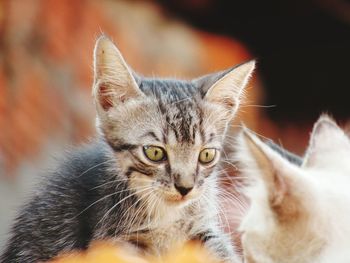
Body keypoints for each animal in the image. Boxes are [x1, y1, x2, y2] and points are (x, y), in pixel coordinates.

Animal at [1, 35, 256, 263]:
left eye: (206, 155)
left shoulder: (202, 228)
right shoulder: (113, 240)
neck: (167, 216)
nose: (185, 188)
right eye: (154, 153)